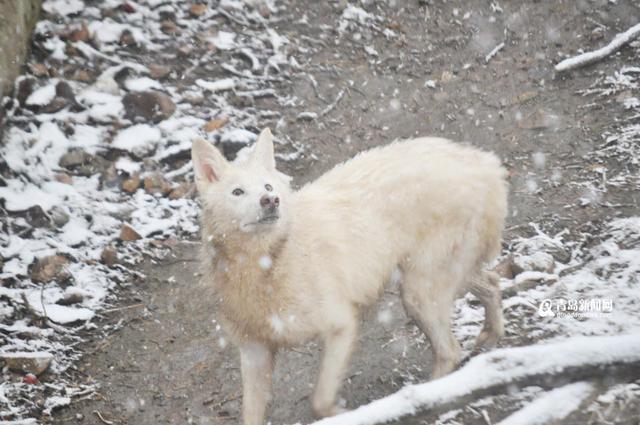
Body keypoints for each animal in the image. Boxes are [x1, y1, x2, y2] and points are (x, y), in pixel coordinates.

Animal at [192, 130, 508, 424]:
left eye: (267, 186)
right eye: (237, 192)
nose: (271, 200)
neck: (266, 264)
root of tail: (486, 165)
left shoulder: (341, 325)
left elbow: (319, 399)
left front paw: (344, 413)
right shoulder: (254, 351)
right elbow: (250, 414)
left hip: (417, 294)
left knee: (450, 351)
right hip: (435, 280)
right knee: (492, 284)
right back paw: (490, 338)